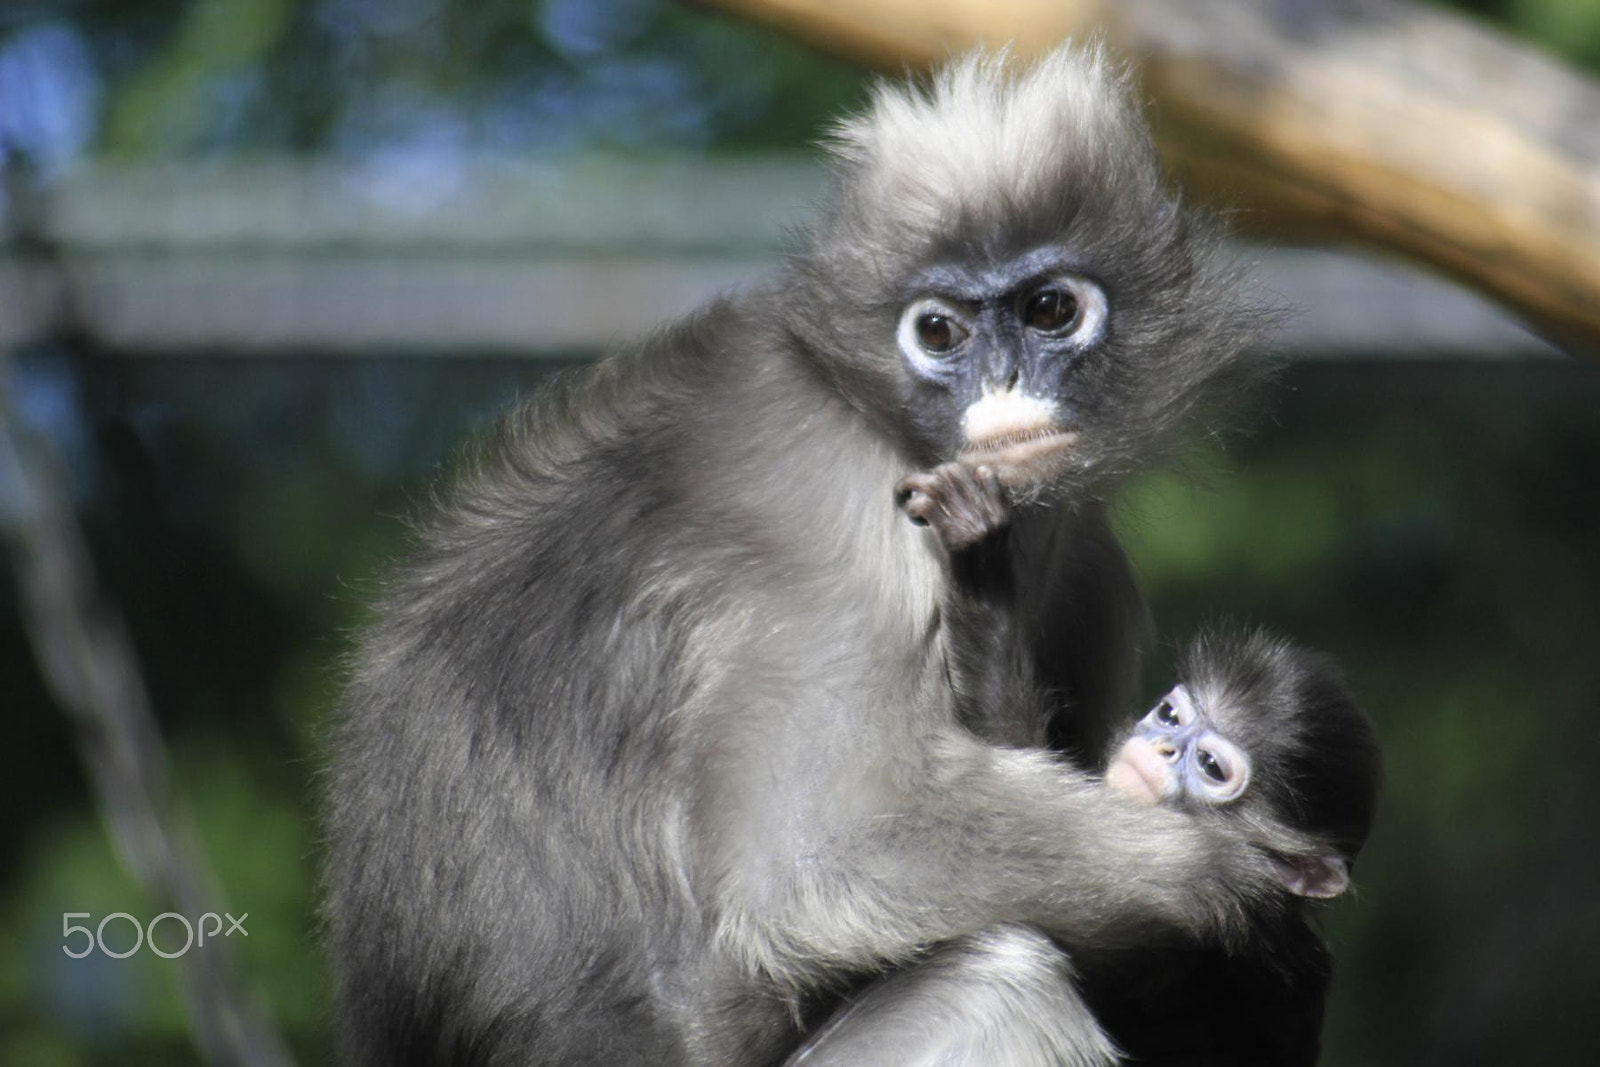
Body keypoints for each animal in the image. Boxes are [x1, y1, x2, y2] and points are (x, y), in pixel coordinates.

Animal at [328, 47, 1286, 1067]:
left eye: (1052, 309)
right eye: (938, 331)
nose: (1003, 382)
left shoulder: (1087, 556)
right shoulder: (842, 516)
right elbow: (816, 851)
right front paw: (1235, 871)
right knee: (1004, 977)